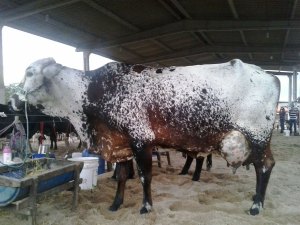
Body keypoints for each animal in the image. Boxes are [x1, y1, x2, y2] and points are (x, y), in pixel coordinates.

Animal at [10, 58, 280, 216]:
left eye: (30, 72)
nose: (12, 98)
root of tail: (270, 75)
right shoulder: (120, 145)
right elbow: (120, 176)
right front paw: (115, 204)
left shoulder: (141, 140)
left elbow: (144, 177)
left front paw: (146, 206)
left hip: (257, 136)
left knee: (265, 166)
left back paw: (256, 205)